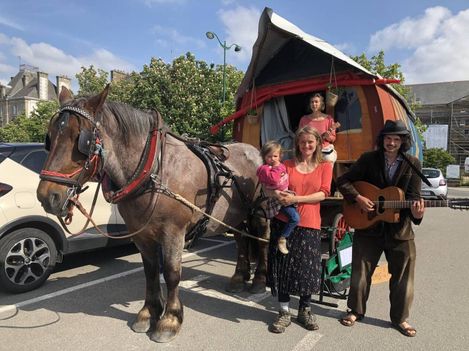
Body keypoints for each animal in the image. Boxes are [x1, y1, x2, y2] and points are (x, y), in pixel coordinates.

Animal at [36, 86, 268, 344]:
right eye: (50, 136)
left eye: (81, 139)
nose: (47, 196)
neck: (154, 171)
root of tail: (254, 150)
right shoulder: (142, 234)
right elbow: (150, 271)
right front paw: (149, 313)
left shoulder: (173, 232)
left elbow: (172, 273)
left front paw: (170, 320)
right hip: (236, 216)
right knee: (241, 240)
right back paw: (239, 277)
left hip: (259, 212)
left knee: (261, 240)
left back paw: (259, 281)